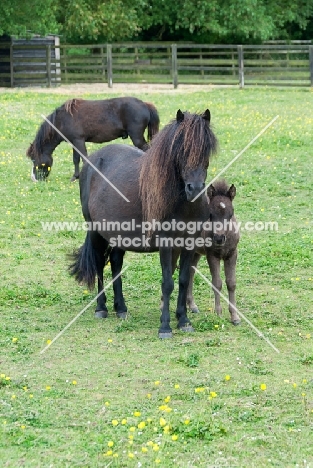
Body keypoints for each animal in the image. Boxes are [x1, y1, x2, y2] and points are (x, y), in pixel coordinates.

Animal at [25, 96, 160, 181]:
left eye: (34, 159)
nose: (34, 178)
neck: (62, 120)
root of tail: (145, 104)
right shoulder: (74, 142)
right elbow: (76, 159)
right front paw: (75, 176)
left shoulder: (79, 141)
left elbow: (84, 158)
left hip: (137, 137)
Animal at [70, 108, 217, 338]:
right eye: (180, 148)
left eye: (206, 149)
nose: (194, 189)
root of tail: (92, 161)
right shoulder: (166, 243)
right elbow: (168, 283)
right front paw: (165, 326)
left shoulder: (189, 243)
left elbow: (184, 280)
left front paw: (183, 320)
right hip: (95, 232)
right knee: (99, 264)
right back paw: (101, 308)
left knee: (115, 263)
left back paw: (121, 308)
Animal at [186, 180, 240, 326]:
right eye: (210, 214)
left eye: (231, 213)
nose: (219, 238)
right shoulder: (212, 255)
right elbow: (217, 283)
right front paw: (219, 313)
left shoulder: (232, 254)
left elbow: (231, 283)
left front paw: (235, 317)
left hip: (195, 253)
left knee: (189, 272)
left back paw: (192, 305)